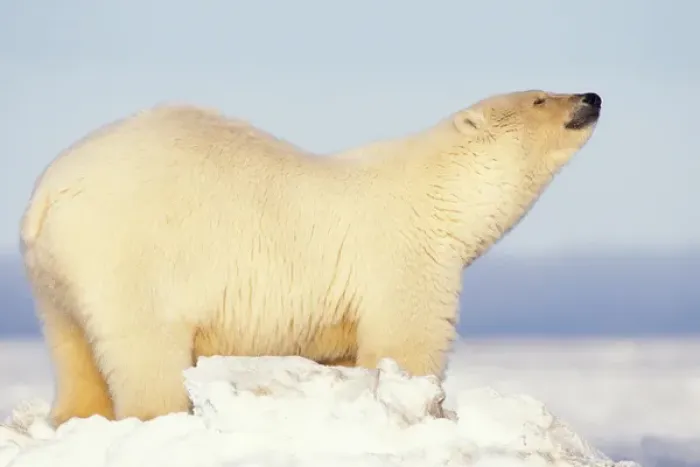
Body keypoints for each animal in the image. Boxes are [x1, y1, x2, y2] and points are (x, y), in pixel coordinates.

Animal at [19, 89, 602, 425]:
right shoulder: (404, 257)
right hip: (129, 257)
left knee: (74, 352)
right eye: (539, 99)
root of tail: (49, 191)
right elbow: (409, 343)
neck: (440, 194)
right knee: (146, 355)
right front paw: (421, 409)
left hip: (54, 278)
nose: (592, 96)